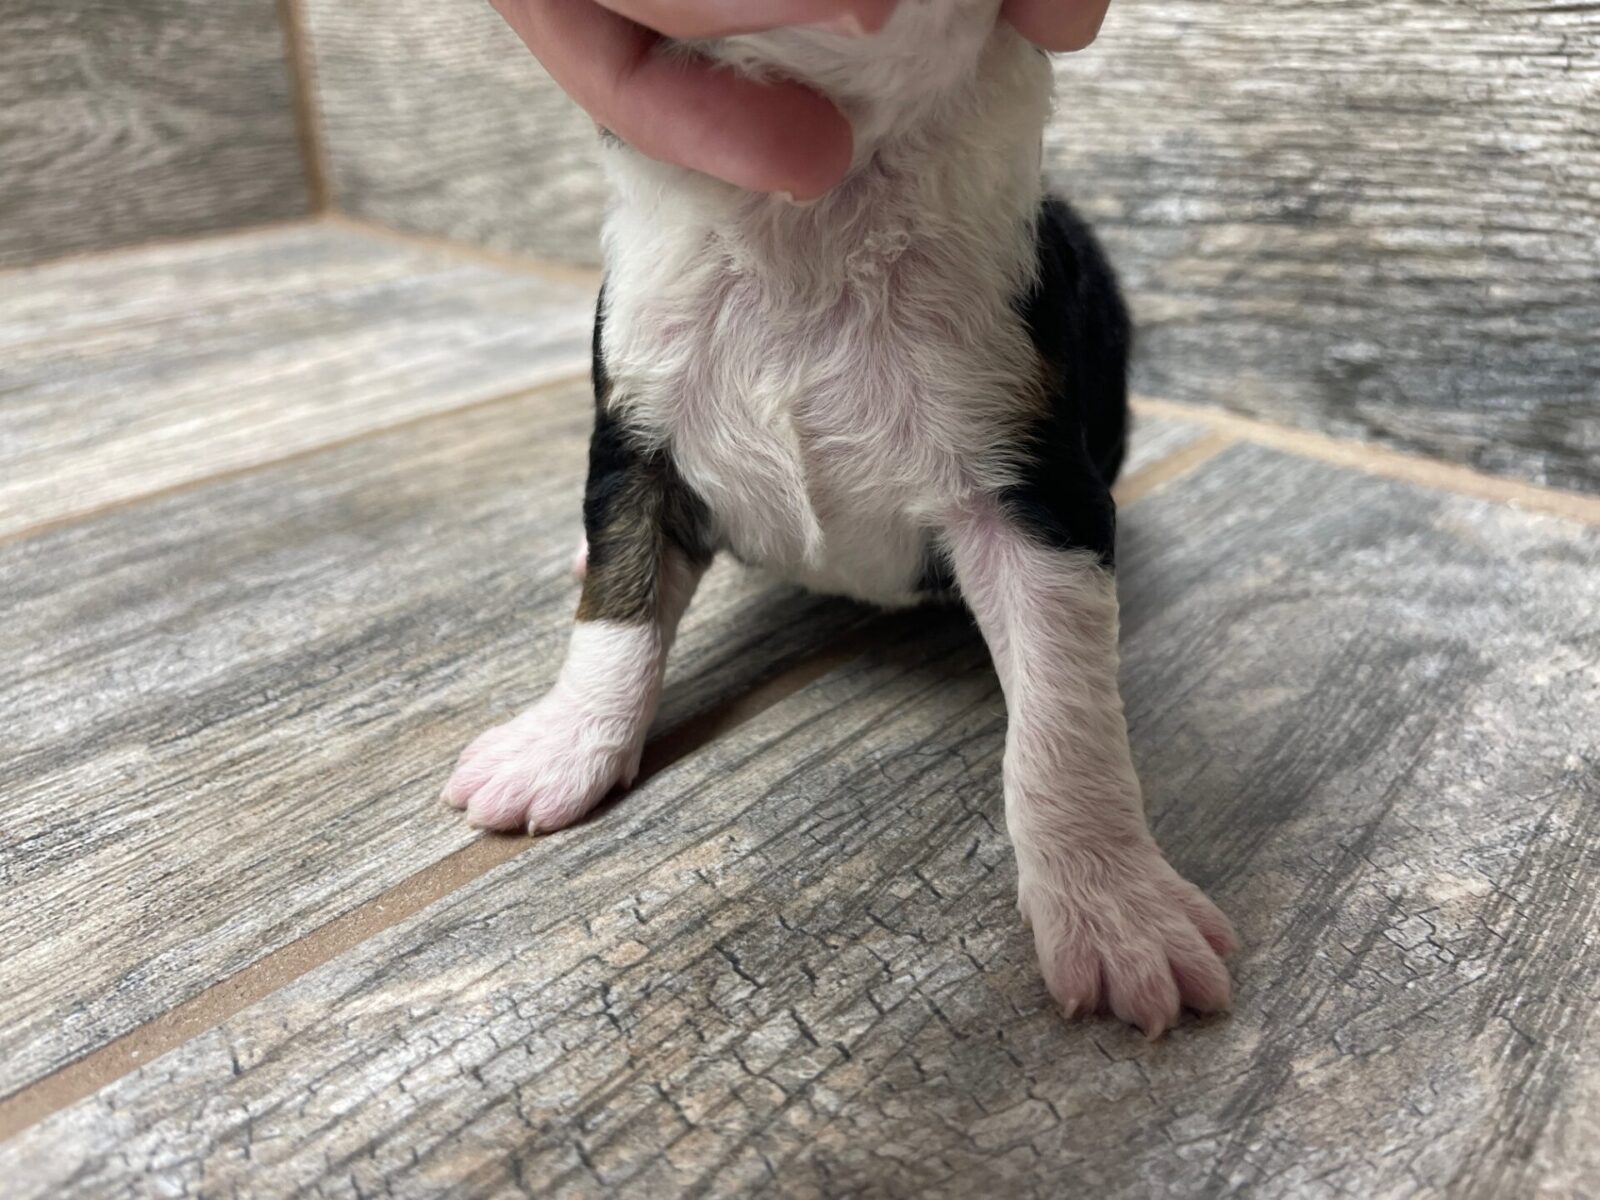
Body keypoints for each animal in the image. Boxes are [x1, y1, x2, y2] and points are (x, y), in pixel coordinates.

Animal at [443, 0, 1235, 1037]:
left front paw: (1117, 910)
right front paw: (560, 747)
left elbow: (1062, 721)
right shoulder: (637, 434)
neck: (808, 217)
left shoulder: (1031, 493)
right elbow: (616, 616)